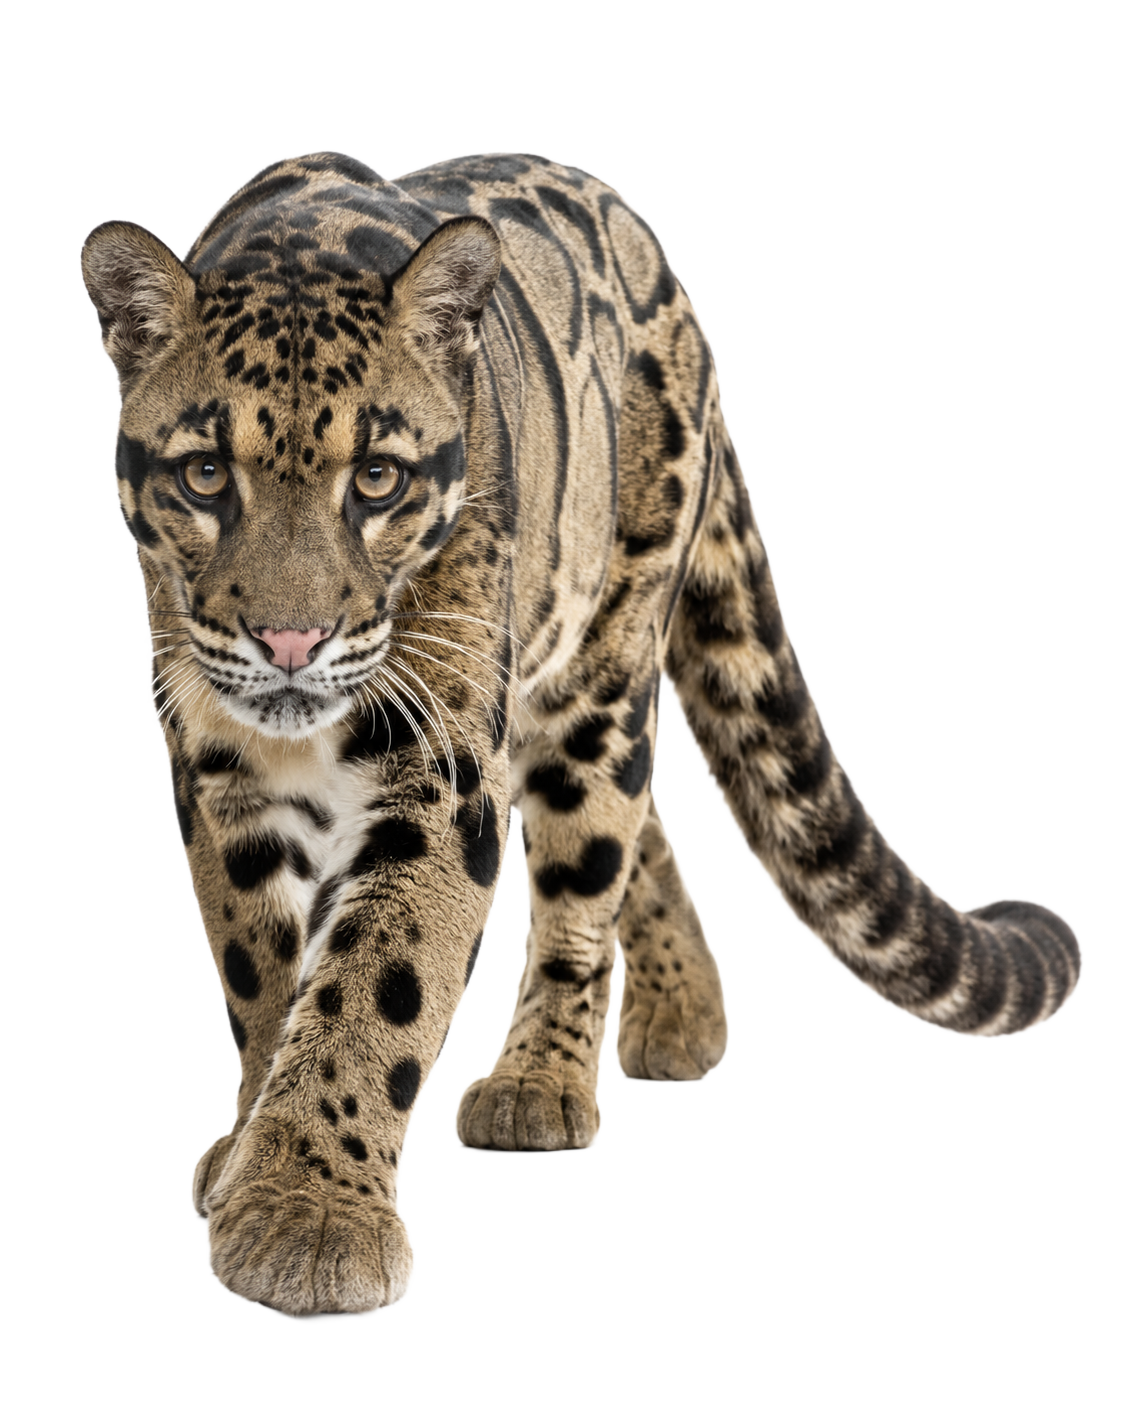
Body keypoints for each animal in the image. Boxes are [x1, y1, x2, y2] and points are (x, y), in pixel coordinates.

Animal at [82, 151, 1081, 1319]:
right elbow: (264, 978)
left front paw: (308, 1215)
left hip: (602, 671)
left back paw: (543, 1083)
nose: (291, 639)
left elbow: (378, 980)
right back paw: (685, 1013)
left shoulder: (443, 773)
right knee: (635, 833)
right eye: (205, 474)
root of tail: (667, 274)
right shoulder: (220, 767)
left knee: (592, 860)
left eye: (376, 477)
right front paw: (254, 1152)